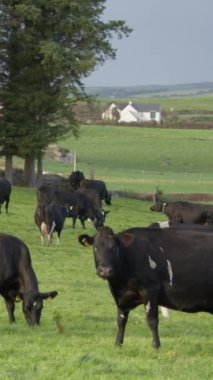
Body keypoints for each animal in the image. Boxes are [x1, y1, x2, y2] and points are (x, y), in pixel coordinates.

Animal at [79, 226, 213, 348]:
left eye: (114, 248)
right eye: (95, 248)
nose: (105, 270)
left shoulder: (150, 290)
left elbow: (152, 320)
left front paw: (156, 345)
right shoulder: (122, 297)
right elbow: (121, 320)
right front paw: (118, 344)